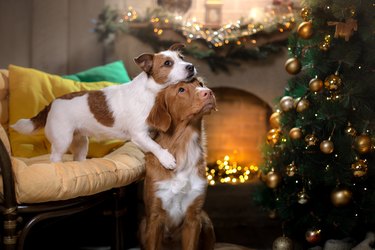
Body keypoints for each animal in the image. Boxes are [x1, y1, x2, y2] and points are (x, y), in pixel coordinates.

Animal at [11, 43, 197, 170]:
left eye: (182, 58)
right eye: (167, 63)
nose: (191, 66)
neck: (151, 92)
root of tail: (52, 103)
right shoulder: (139, 135)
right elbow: (155, 146)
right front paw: (166, 158)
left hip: (81, 142)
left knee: (78, 157)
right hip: (62, 140)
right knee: (54, 157)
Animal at [140, 77, 217, 249]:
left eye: (200, 84)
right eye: (181, 90)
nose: (208, 92)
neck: (184, 146)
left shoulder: (193, 217)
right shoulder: (154, 217)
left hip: (206, 221)